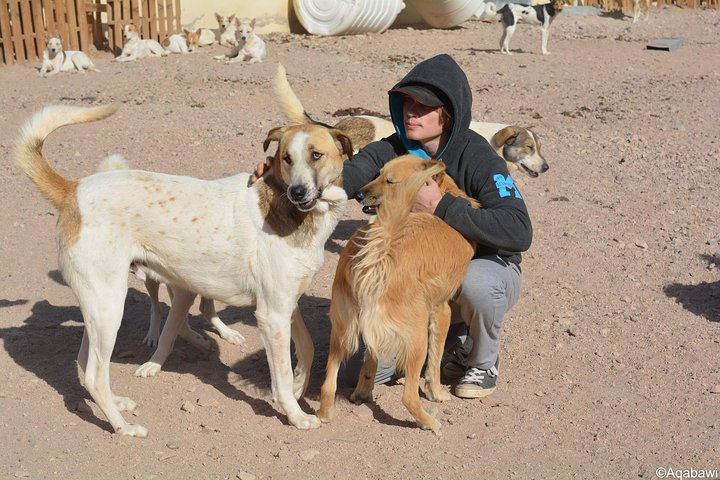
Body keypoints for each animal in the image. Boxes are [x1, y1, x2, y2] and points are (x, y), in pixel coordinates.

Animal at [15, 103, 352, 436]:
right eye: (286, 158)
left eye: (316, 155)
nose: (297, 192)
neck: (289, 212)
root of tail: (72, 189)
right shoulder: (271, 315)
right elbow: (279, 376)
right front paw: (295, 415)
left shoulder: (286, 303)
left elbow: (307, 347)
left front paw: (299, 385)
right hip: (109, 305)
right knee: (96, 375)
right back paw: (124, 427)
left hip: (97, 305)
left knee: (85, 365)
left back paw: (118, 403)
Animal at [316, 156, 478, 434]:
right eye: (378, 174)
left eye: (389, 181)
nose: (359, 194)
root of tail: (379, 254)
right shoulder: (441, 311)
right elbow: (434, 363)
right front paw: (436, 393)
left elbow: (370, 360)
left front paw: (362, 392)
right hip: (416, 338)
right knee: (409, 397)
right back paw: (428, 422)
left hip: (341, 332)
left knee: (328, 383)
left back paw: (325, 413)